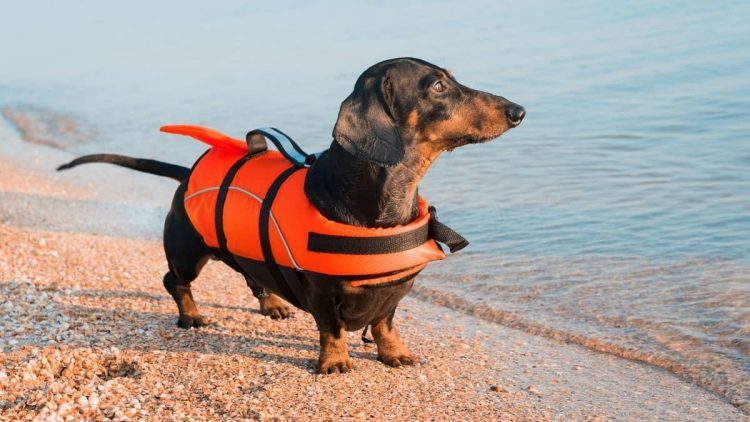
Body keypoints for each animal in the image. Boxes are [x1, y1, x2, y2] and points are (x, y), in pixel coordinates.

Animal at [58, 57, 524, 374]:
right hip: (187, 251)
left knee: (254, 276)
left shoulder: (395, 290)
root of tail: (187, 173)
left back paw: (272, 304)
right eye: (438, 86)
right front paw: (334, 362)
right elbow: (332, 328)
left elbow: (385, 323)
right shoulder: (320, 290)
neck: (388, 200)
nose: (518, 111)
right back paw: (191, 315)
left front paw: (393, 353)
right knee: (174, 281)